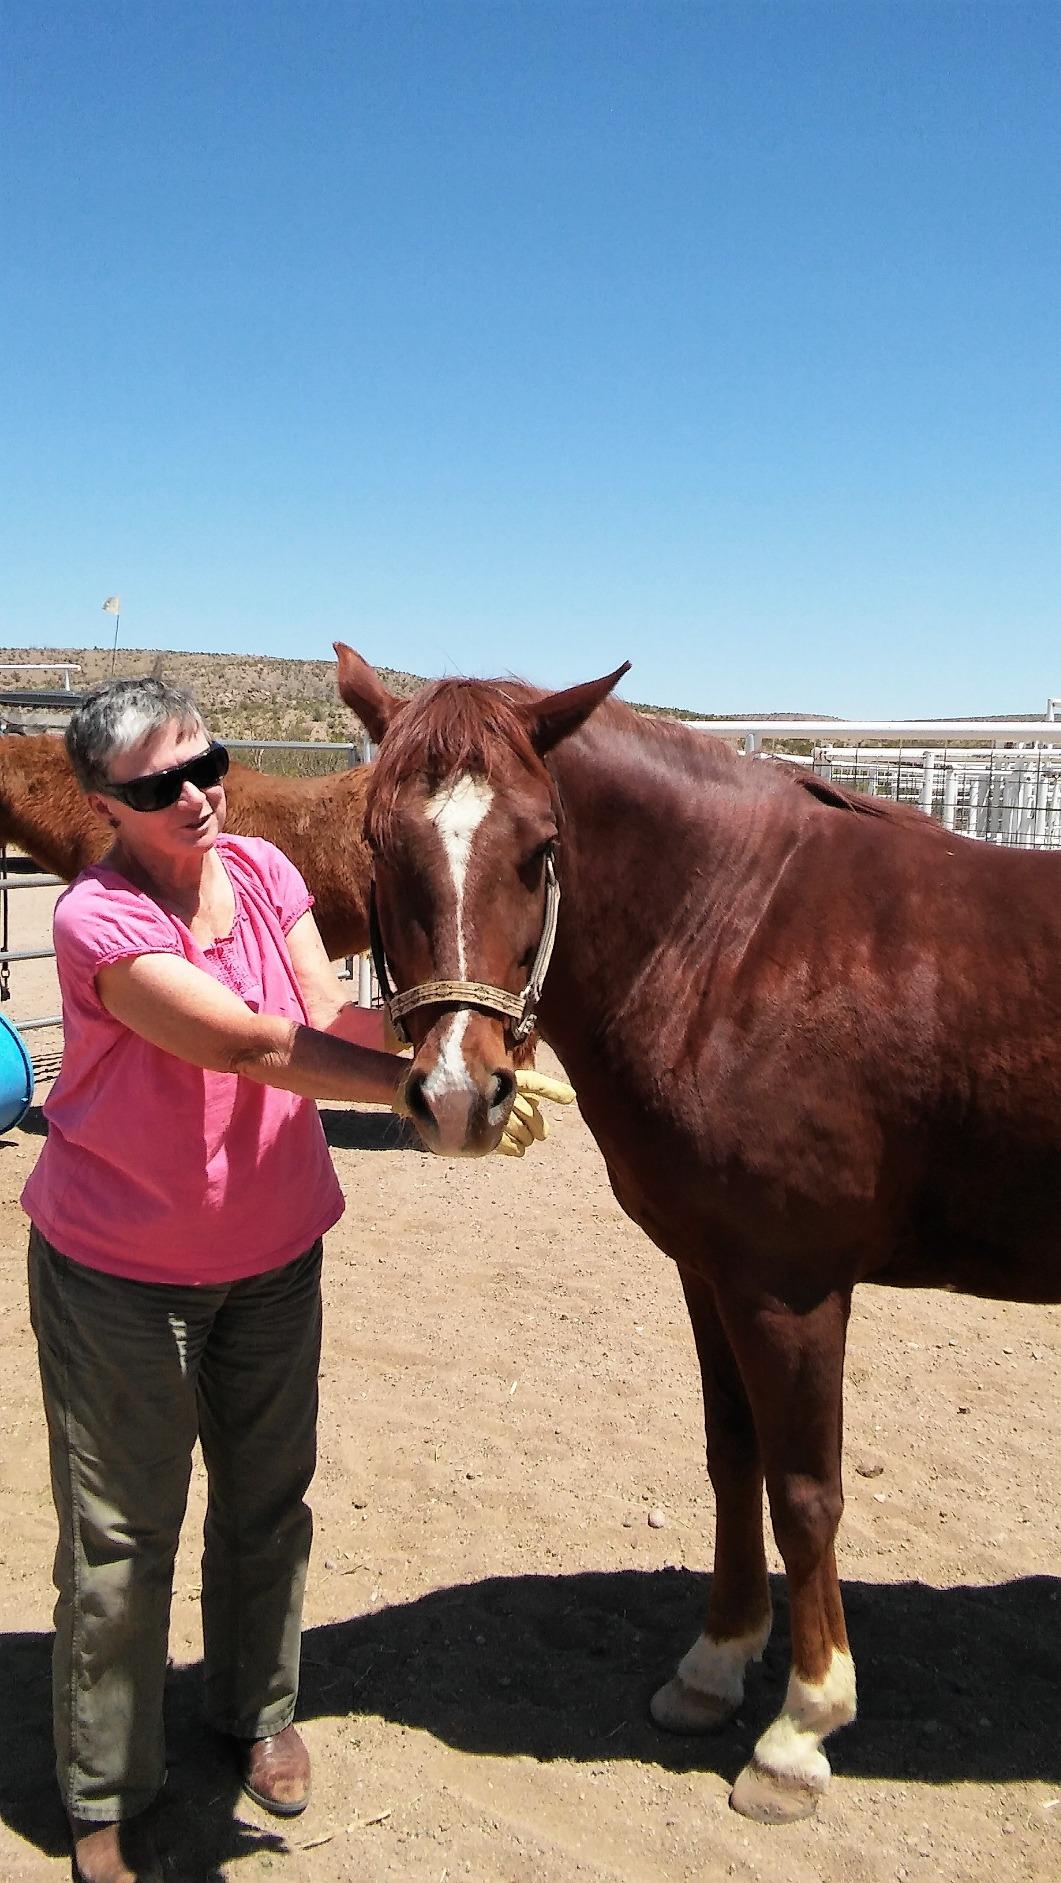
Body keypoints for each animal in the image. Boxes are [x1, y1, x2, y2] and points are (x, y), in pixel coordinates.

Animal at [333, 642, 1061, 1825]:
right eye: (375, 842)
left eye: (540, 848)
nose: (456, 1096)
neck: (737, 940)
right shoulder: (710, 1272)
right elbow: (734, 1462)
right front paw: (715, 1665)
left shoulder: (790, 1286)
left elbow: (805, 1491)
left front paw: (801, 1727)